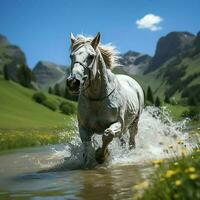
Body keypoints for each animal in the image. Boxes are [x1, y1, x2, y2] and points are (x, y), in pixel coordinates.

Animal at [67, 32, 144, 165]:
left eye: (91, 56)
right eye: (71, 56)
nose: (73, 82)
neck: (97, 99)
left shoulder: (118, 123)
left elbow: (108, 134)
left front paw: (101, 156)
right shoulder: (84, 128)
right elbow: (87, 147)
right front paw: (89, 159)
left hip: (134, 123)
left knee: (131, 139)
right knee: (122, 141)